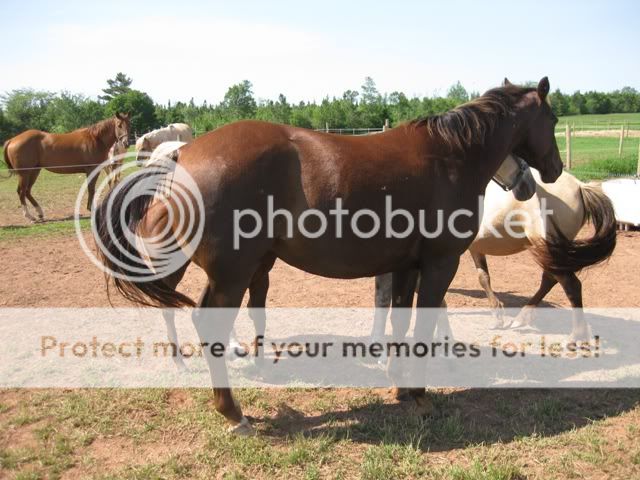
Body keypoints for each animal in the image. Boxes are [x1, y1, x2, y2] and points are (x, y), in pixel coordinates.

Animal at [2, 113, 130, 222]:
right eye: (119, 125)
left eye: (129, 124)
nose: (126, 143)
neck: (95, 138)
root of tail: (12, 140)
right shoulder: (92, 170)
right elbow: (91, 189)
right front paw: (91, 209)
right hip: (25, 173)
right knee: (21, 192)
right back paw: (29, 216)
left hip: (34, 171)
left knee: (27, 191)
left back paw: (40, 213)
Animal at [92, 79, 564, 436]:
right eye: (554, 119)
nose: (552, 171)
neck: (450, 157)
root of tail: (182, 154)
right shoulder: (438, 265)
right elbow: (423, 327)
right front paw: (418, 395)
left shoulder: (404, 267)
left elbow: (399, 322)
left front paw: (398, 384)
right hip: (231, 274)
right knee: (207, 325)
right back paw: (233, 412)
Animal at [372, 169, 616, 342]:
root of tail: (580, 186)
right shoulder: (474, 249)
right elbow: (483, 278)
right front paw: (497, 316)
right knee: (550, 280)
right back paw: (522, 318)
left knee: (571, 285)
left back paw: (576, 336)